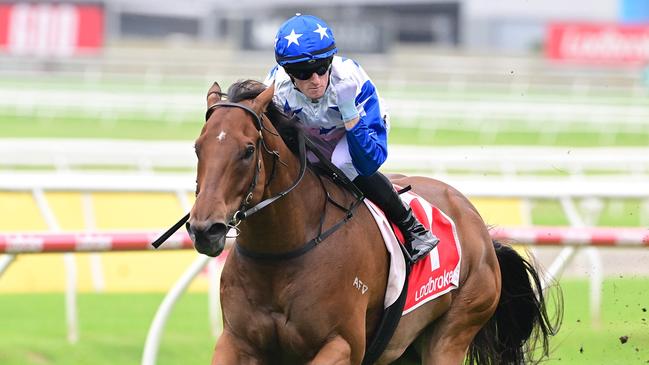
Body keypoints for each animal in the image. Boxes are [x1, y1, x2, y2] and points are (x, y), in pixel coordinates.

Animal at [184, 80, 556, 364]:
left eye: (248, 150)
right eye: (198, 147)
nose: (205, 229)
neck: (283, 252)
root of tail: (478, 226)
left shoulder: (343, 344)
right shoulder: (236, 341)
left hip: (454, 329)